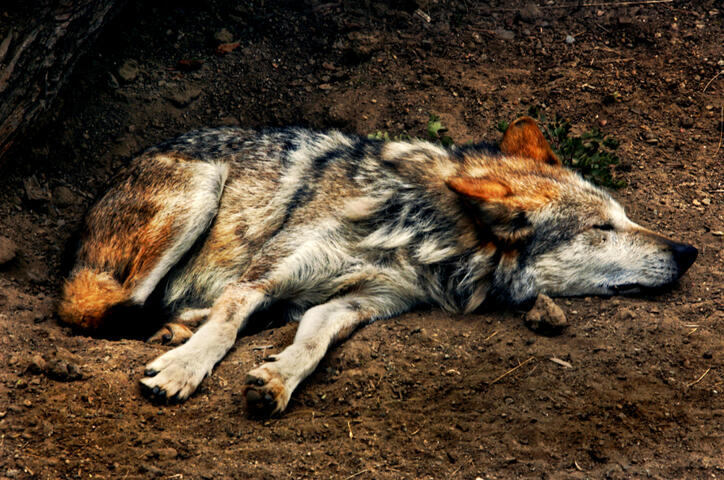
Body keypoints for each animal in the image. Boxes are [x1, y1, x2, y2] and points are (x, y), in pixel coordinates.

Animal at [58, 117, 697, 415]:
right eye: (601, 229)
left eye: (625, 216)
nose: (689, 252)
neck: (416, 234)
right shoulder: (264, 274)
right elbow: (227, 324)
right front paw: (184, 370)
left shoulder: (361, 303)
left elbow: (312, 341)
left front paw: (277, 378)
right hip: (201, 191)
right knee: (94, 306)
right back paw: (173, 332)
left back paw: (180, 325)